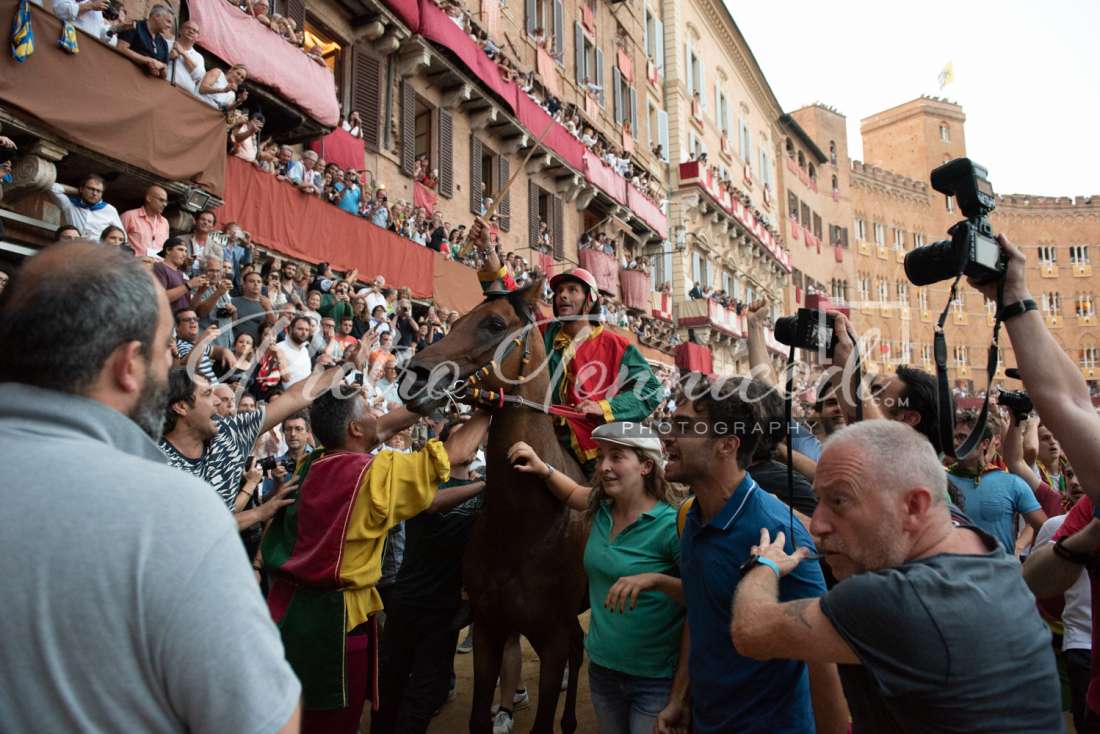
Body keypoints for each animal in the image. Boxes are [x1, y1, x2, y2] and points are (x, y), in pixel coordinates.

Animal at [407, 279, 594, 734]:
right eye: (456, 319)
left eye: (493, 323)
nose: (415, 376)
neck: (523, 524)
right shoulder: (489, 628)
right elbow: (478, 717)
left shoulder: (551, 638)